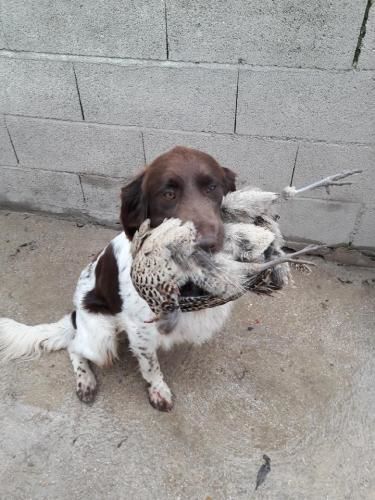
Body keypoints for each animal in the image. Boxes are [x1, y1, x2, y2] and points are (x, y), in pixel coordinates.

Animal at [0, 145, 238, 410]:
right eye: (168, 194)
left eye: (212, 187)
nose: (207, 245)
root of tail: (75, 316)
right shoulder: (140, 330)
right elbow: (151, 367)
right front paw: (158, 390)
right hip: (100, 337)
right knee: (74, 346)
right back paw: (85, 381)